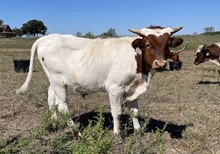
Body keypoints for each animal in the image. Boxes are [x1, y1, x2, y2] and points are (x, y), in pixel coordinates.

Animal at [16, 25, 183, 135]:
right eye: (148, 44)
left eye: (167, 44)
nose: (160, 64)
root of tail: (47, 38)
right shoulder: (115, 88)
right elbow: (117, 112)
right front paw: (117, 134)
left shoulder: (133, 88)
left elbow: (135, 111)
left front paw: (138, 130)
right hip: (57, 80)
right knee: (63, 106)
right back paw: (75, 130)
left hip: (54, 80)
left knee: (51, 100)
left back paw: (54, 122)